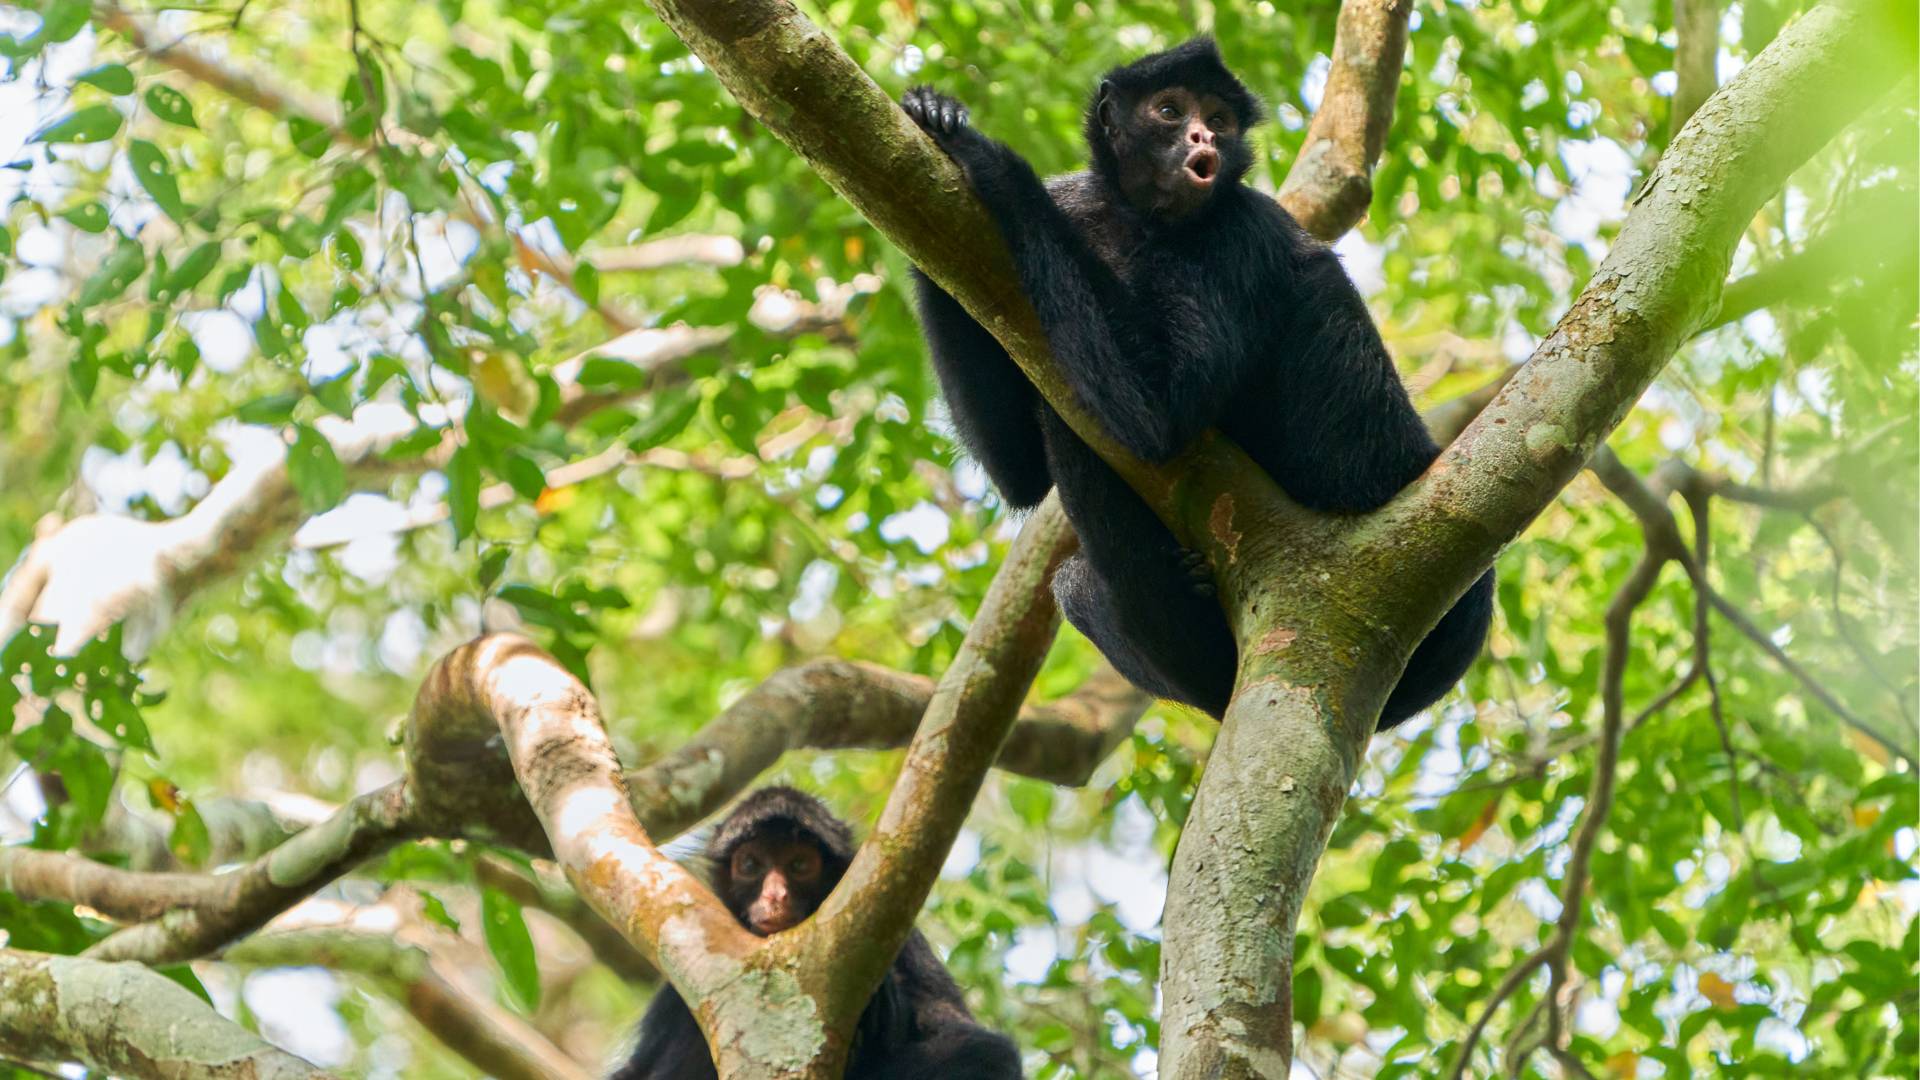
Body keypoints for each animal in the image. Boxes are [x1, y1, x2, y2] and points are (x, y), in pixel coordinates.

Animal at [611, 787, 1022, 1080]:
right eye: (750, 864)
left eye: (799, 864)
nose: (775, 896)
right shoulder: (678, 996)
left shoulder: (908, 944)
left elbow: (973, 1042)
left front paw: (880, 1004)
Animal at [901, 37, 1494, 727]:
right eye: (1169, 109)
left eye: (1219, 117)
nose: (1202, 135)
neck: (1135, 220)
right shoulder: (1077, 200)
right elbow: (1021, 475)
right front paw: (933, 126)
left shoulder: (1238, 234)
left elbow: (1158, 418)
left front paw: (989, 160)